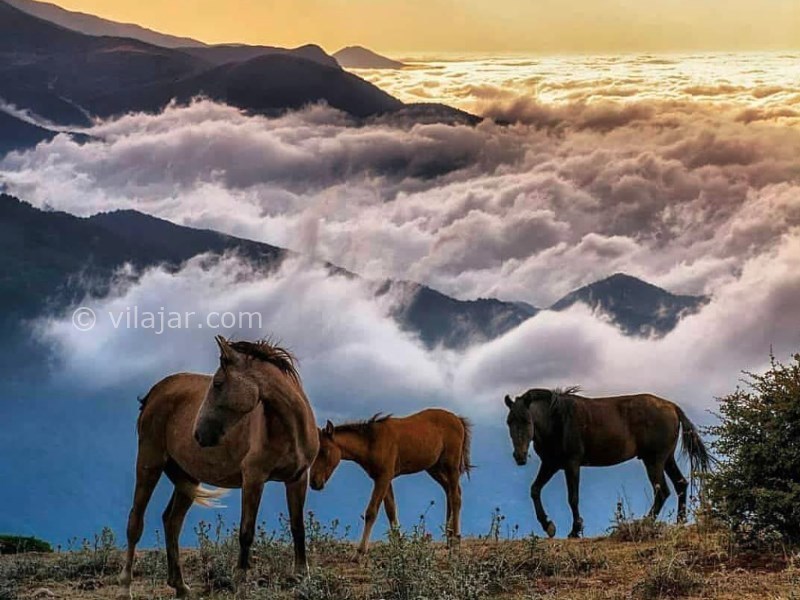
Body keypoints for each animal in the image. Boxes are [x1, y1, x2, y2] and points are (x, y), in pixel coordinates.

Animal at [119, 338, 318, 600]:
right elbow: (246, 532)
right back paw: (125, 587)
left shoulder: (297, 478)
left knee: (172, 522)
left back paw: (180, 586)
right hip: (149, 464)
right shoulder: (253, 478)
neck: (289, 428)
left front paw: (302, 577)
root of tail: (155, 393)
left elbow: (298, 527)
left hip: (187, 478)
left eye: (218, 383)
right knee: (135, 522)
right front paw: (240, 582)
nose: (198, 434)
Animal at [310, 410, 472, 556]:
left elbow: (371, 512)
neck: (371, 442)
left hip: (451, 466)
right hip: (434, 468)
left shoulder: (383, 478)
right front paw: (398, 546)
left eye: (324, 451)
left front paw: (360, 553)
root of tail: (458, 419)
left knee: (456, 496)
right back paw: (449, 538)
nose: (313, 482)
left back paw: (455, 539)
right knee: (449, 491)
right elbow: (391, 511)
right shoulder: (384, 479)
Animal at [506, 390, 712, 540]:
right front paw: (548, 526)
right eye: (509, 421)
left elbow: (573, 498)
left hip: (654, 461)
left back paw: (644, 523)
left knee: (662, 491)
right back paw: (679, 522)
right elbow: (535, 490)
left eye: (526, 420)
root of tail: (672, 407)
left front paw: (575, 530)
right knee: (680, 484)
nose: (519, 457)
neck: (557, 420)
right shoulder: (551, 464)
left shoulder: (571, 464)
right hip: (666, 459)